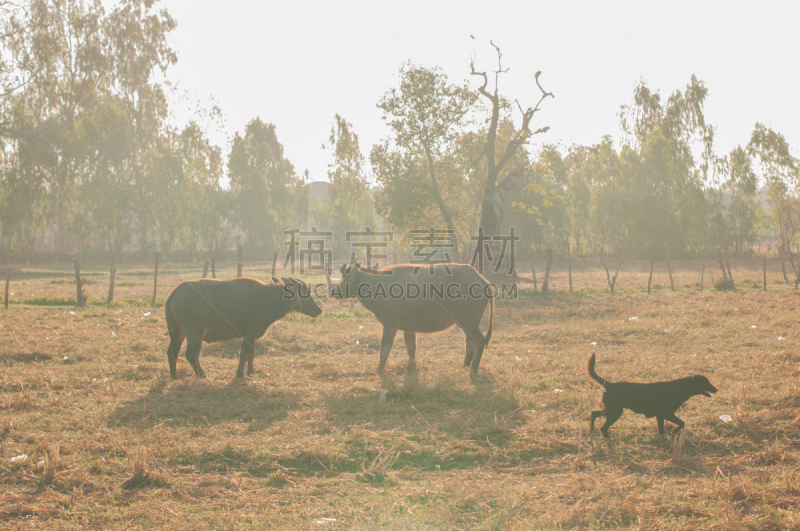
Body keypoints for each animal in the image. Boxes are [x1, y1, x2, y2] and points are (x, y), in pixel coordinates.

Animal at [332, 264, 494, 376]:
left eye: (345, 278)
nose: (334, 290)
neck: (375, 284)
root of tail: (484, 282)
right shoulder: (408, 328)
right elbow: (411, 349)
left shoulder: (390, 324)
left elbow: (385, 349)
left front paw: (379, 370)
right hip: (469, 322)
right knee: (469, 342)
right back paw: (465, 365)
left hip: (468, 321)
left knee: (479, 341)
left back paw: (473, 370)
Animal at [588, 356, 720, 438]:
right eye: (706, 382)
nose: (716, 389)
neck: (679, 388)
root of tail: (609, 384)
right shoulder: (666, 413)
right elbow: (682, 423)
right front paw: (674, 431)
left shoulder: (660, 416)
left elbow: (661, 430)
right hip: (615, 412)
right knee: (603, 427)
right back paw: (607, 438)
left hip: (611, 410)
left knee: (593, 413)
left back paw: (592, 430)